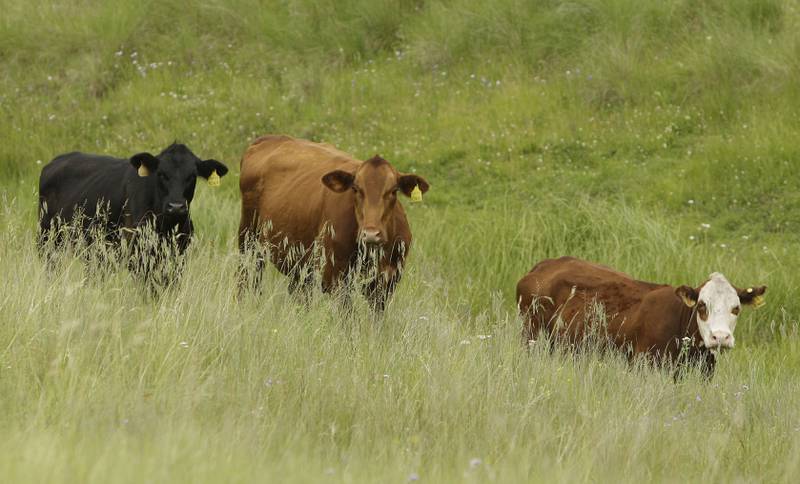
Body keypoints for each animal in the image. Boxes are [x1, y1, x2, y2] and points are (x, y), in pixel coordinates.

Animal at [38, 143, 228, 283]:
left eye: (192, 176)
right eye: (161, 174)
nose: (176, 207)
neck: (165, 227)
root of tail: (57, 161)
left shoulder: (178, 255)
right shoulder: (138, 255)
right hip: (47, 239)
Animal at [238, 135, 429, 311]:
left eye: (393, 190)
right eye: (356, 189)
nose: (371, 234)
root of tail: (271, 138)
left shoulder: (387, 282)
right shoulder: (335, 276)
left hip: (300, 265)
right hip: (248, 241)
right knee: (246, 278)